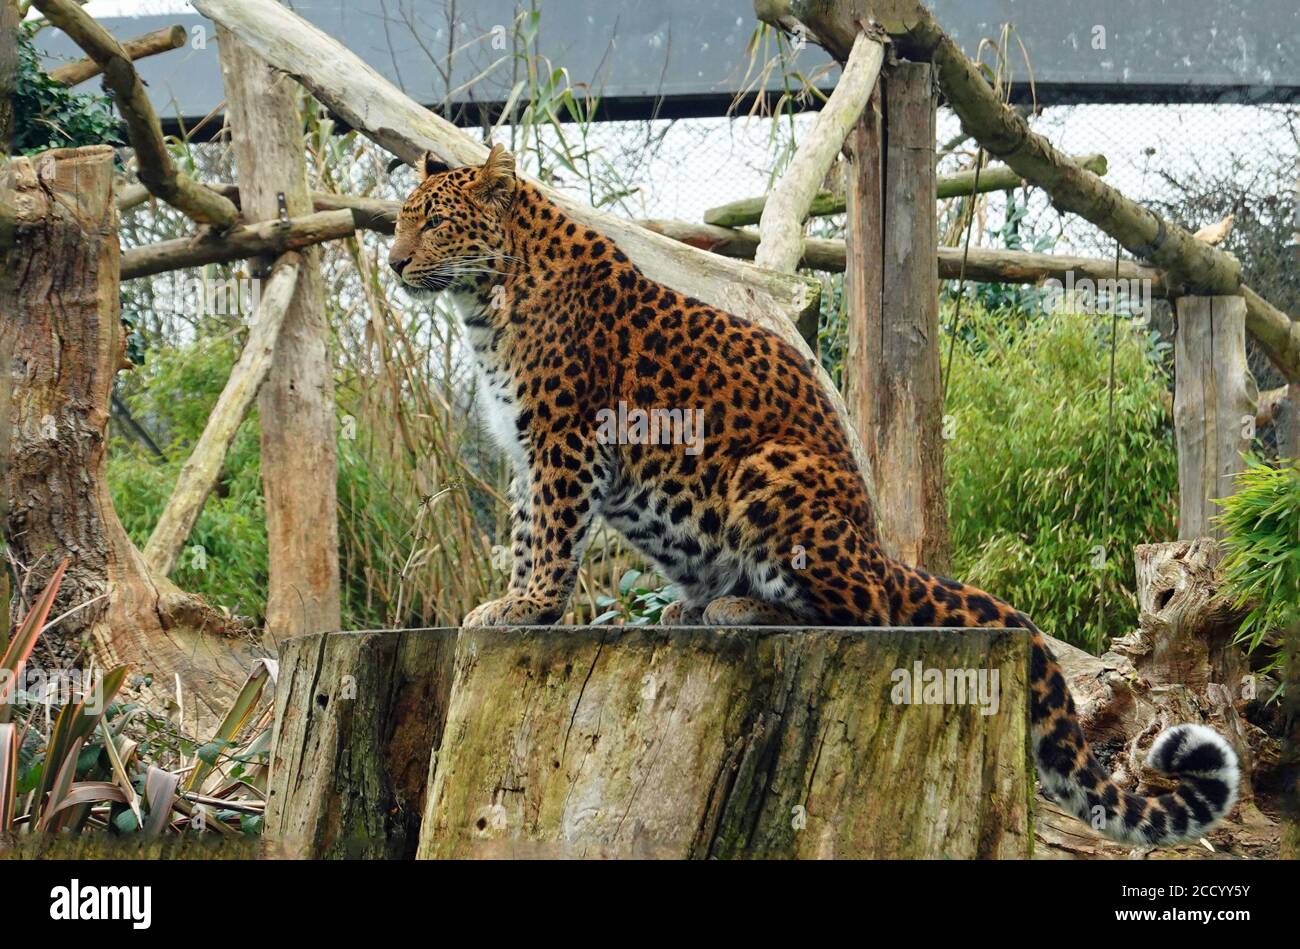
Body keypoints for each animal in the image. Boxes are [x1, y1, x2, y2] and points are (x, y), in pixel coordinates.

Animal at [387, 144, 1237, 847]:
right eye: (399, 222)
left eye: (434, 223)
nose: (394, 264)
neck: (484, 302)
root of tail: (884, 550)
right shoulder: (525, 450)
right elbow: (526, 528)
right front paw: (506, 603)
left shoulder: (564, 438)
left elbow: (552, 535)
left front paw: (527, 608)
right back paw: (694, 607)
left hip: (770, 473)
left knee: (872, 610)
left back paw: (738, 610)